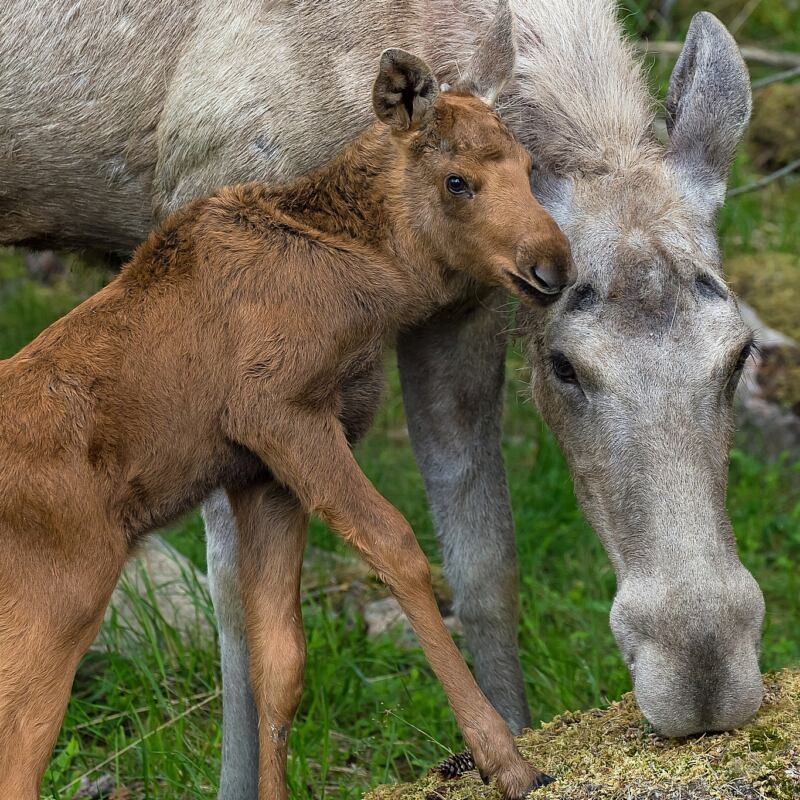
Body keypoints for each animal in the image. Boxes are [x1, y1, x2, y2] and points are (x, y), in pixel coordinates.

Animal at [0, 1, 764, 792]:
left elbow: (485, 561)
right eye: (564, 365)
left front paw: (516, 738)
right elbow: (236, 610)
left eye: (741, 353)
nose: (704, 674)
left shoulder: (461, 309)